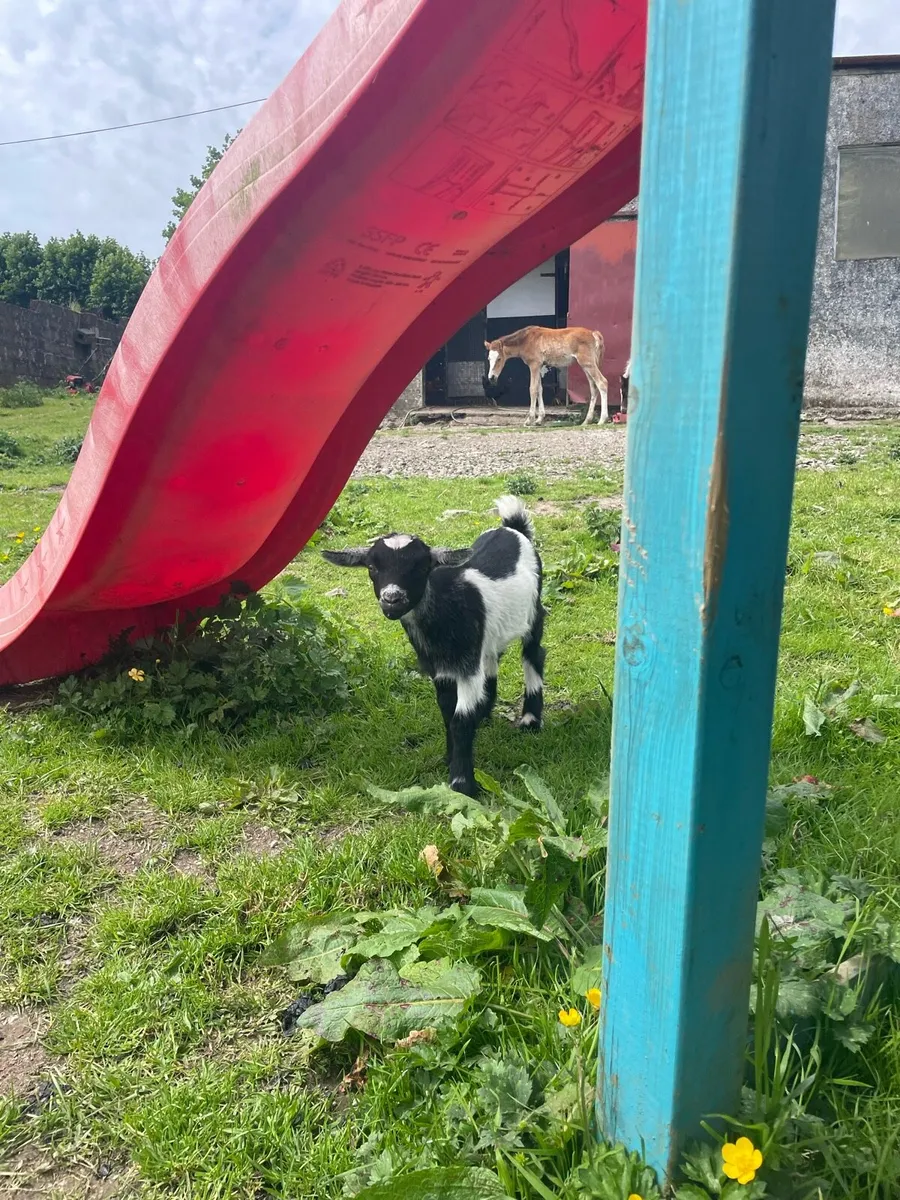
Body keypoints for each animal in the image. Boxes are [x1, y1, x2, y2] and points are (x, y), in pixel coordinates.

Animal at [322, 496, 545, 797]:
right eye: (372, 567)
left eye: (420, 567)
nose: (392, 599)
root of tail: (513, 527)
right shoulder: (441, 669)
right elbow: (446, 713)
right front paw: (449, 759)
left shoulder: (465, 666)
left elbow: (460, 719)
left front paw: (462, 783)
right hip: (489, 634)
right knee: (492, 657)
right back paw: (485, 712)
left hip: (534, 609)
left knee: (533, 654)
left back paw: (530, 720)